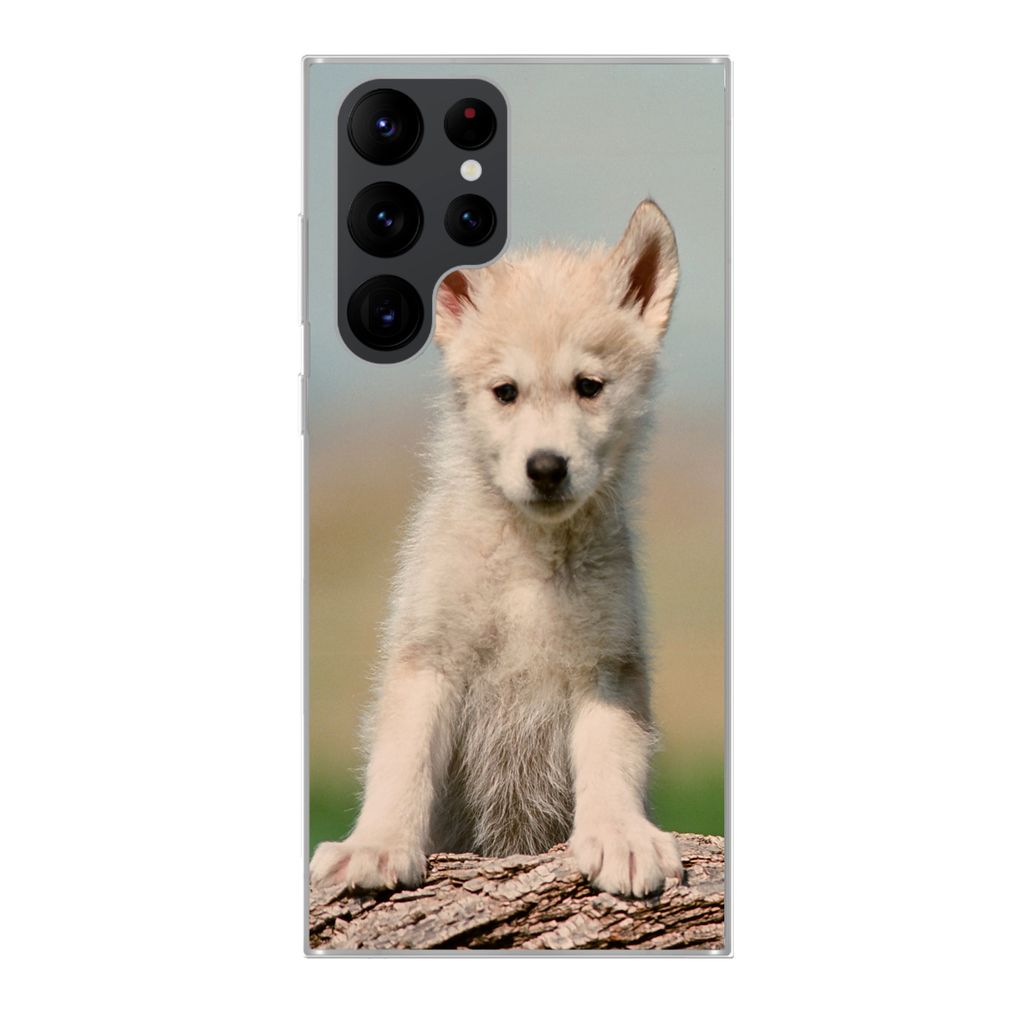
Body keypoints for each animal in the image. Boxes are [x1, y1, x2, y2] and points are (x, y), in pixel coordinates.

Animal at [310, 200, 683, 897]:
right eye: (505, 391)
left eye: (589, 386)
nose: (546, 468)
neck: (529, 559)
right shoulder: (428, 657)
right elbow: (401, 763)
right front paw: (376, 845)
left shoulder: (608, 666)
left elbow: (612, 756)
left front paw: (620, 835)